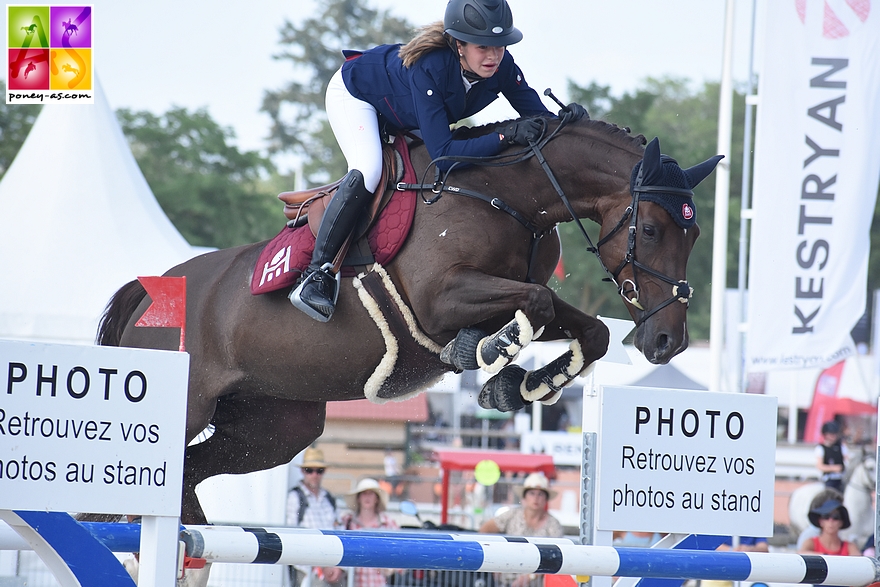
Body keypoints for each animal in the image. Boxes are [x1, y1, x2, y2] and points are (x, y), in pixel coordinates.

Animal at [99, 118, 720, 524]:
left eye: (694, 234)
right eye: (652, 230)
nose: (667, 341)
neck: (507, 195)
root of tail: (150, 290)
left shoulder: (514, 291)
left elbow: (586, 327)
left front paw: (519, 385)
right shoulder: (441, 299)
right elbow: (536, 306)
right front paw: (488, 354)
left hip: (272, 428)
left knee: (187, 474)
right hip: (183, 410)